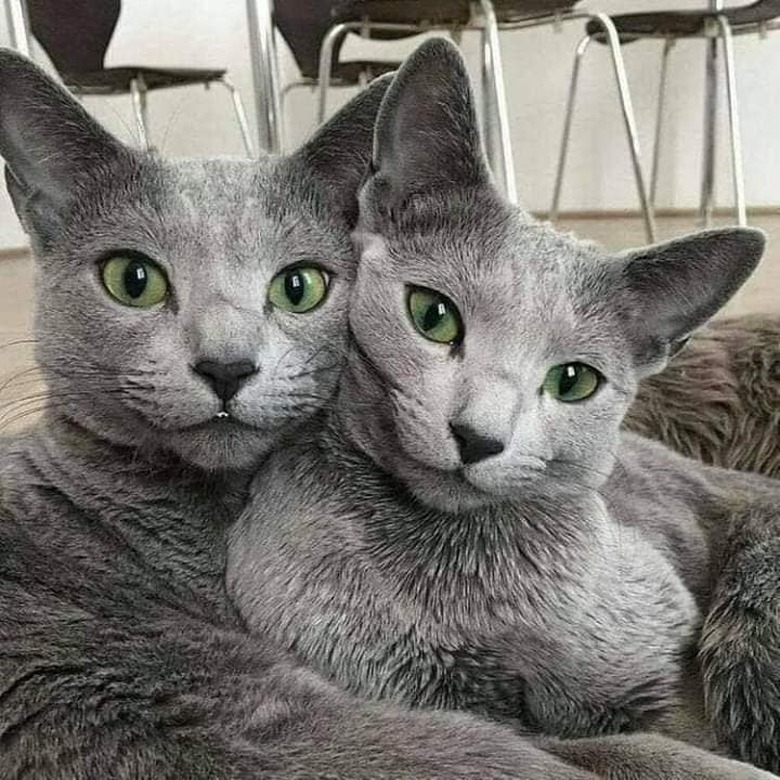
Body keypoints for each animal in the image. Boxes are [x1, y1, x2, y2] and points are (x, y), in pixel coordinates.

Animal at [229, 38, 780, 780]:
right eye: (431, 315)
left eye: (574, 381)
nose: (477, 436)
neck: (462, 588)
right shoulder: (423, 696)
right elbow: (613, 747)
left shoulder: (657, 654)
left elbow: (649, 732)